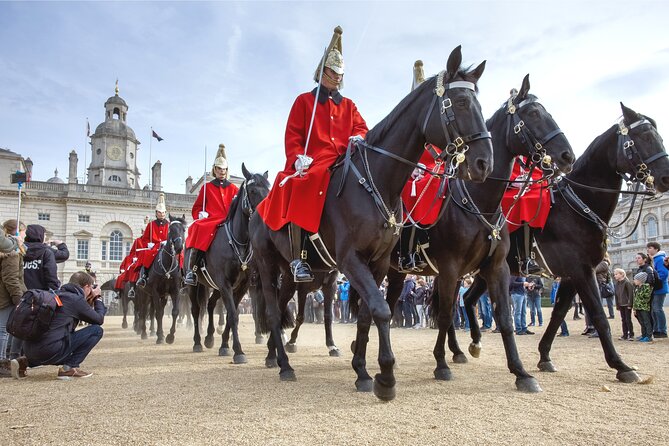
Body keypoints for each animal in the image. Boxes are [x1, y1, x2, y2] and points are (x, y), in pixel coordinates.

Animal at [136, 214, 187, 344]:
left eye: (184, 229)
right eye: (171, 230)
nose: (179, 248)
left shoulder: (175, 291)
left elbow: (174, 312)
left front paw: (170, 336)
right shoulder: (155, 291)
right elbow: (158, 313)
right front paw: (159, 337)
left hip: (163, 295)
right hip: (144, 294)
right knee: (144, 312)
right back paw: (144, 333)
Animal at [185, 164, 268, 362]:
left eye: (269, 188)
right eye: (253, 190)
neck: (239, 242)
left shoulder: (241, 286)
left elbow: (232, 315)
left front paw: (225, 346)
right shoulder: (225, 284)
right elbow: (232, 315)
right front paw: (238, 351)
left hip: (215, 287)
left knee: (210, 305)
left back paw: (208, 338)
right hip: (194, 285)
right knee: (196, 309)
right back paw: (198, 342)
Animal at [250, 46, 490, 400]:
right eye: (460, 102)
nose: (484, 162)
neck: (377, 181)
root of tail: (259, 208)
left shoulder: (377, 263)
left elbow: (367, 313)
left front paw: (362, 371)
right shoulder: (351, 260)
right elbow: (382, 310)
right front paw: (385, 377)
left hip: (289, 272)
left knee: (281, 308)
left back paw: (275, 357)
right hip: (268, 266)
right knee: (269, 308)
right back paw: (284, 366)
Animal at [354, 75, 576, 392]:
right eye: (534, 113)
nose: (567, 155)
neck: (480, 202)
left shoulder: (496, 269)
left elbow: (504, 318)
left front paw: (521, 372)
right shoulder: (449, 268)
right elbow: (447, 314)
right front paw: (441, 364)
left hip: (395, 272)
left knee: (389, 303)